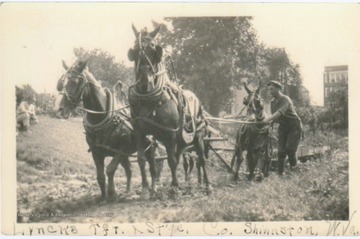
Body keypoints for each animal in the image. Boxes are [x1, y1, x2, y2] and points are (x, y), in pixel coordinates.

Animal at [57, 59, 155, 202]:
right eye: (61, 82)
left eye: (75, 82)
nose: (60, 109)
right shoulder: (96, 152)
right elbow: (100, 176)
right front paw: (103, 197)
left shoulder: (122, 148)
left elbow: (110, 169)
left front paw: (112, 193)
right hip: (125, 156)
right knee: (129, 169)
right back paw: (128, 191)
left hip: (149, 147)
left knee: (151, 167)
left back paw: (151, 189)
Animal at [128, 24, 210, 196]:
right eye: (135, 50)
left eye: (154, 49)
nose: (145, 82)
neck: (149, 99)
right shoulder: (140, 133)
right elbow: (142, 159)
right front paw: (146, 188)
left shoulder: (170, 134)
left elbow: (172, 161)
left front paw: (174, 187)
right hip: (180, 140)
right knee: (181, 158)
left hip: (198, 136)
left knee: (201, 159)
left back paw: (206, 185)